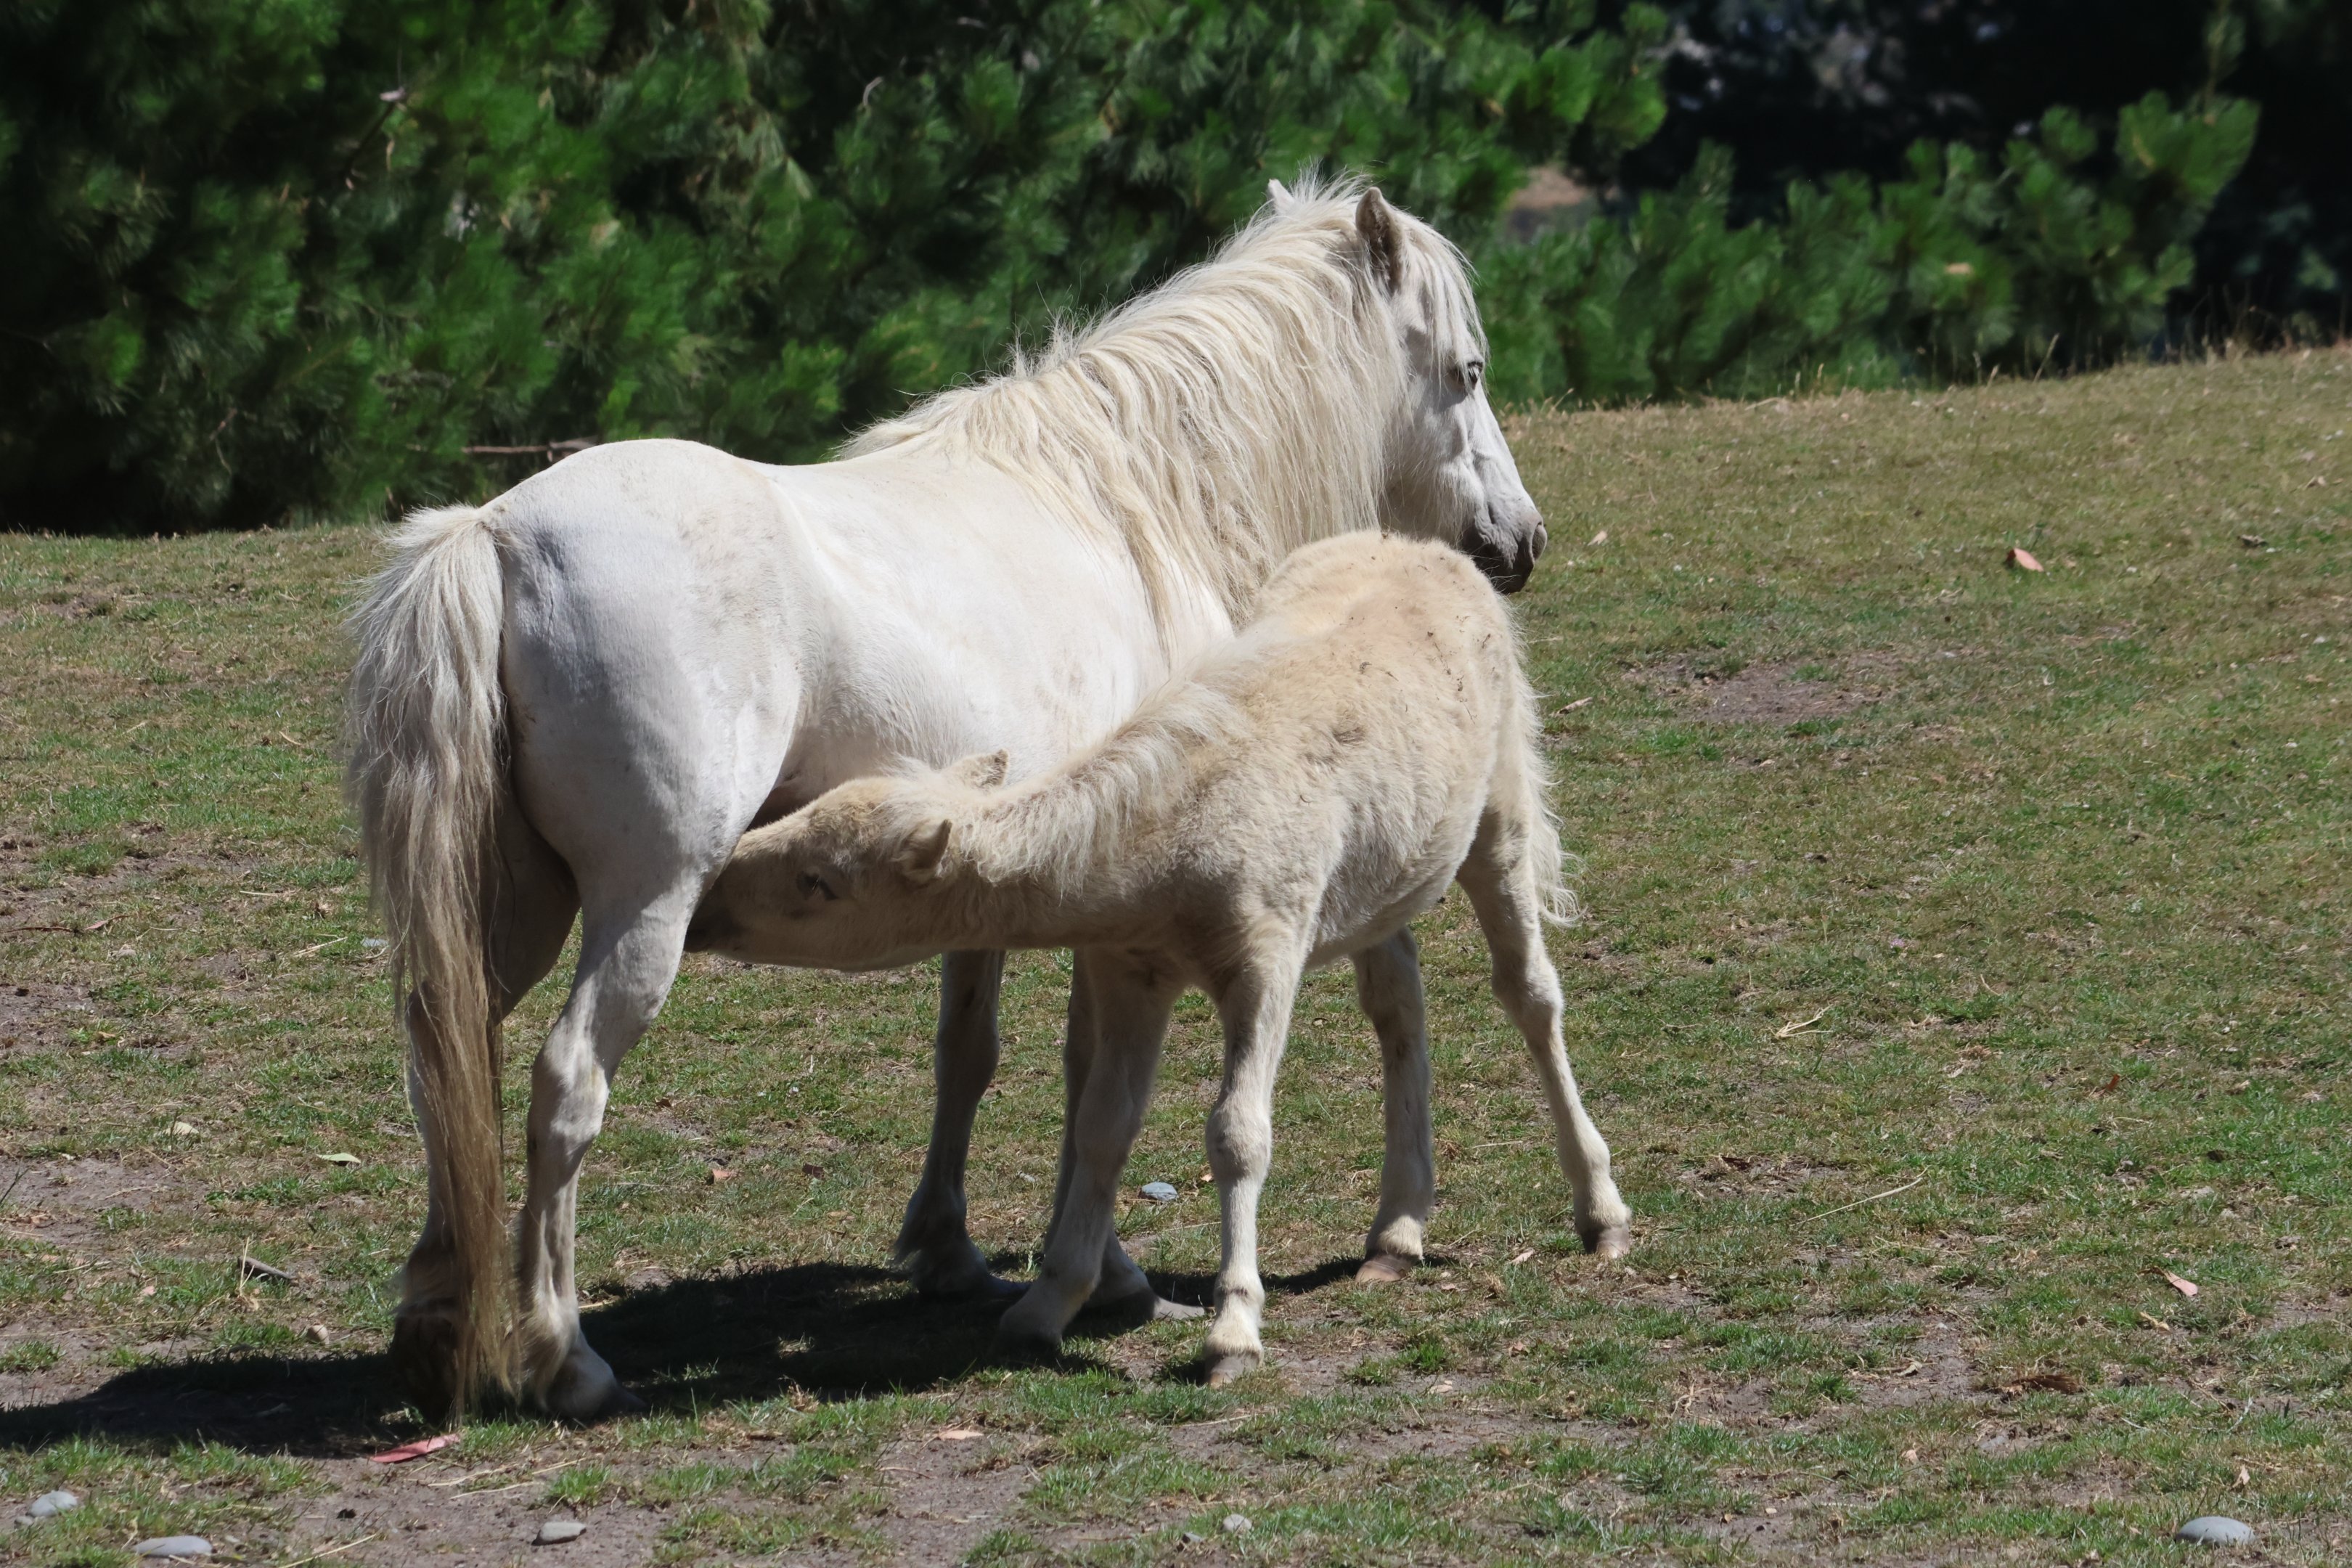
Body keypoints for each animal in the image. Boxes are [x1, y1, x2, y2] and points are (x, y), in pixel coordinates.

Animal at [689, 533, 1634, 1383]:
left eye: (820, 880)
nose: (704, 901)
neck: (1171, 827)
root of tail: (1426, 547)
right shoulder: (1130, 971)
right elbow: (1103, 1127)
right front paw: (1048, 1305)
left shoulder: (1266, 961)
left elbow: (1238, 1134)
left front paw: (1233, 1332)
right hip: (1384, 877)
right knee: (1399, 1005)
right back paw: (1396, 1231)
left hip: (1498, 817)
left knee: (1529, 994)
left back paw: (1600, 1211)